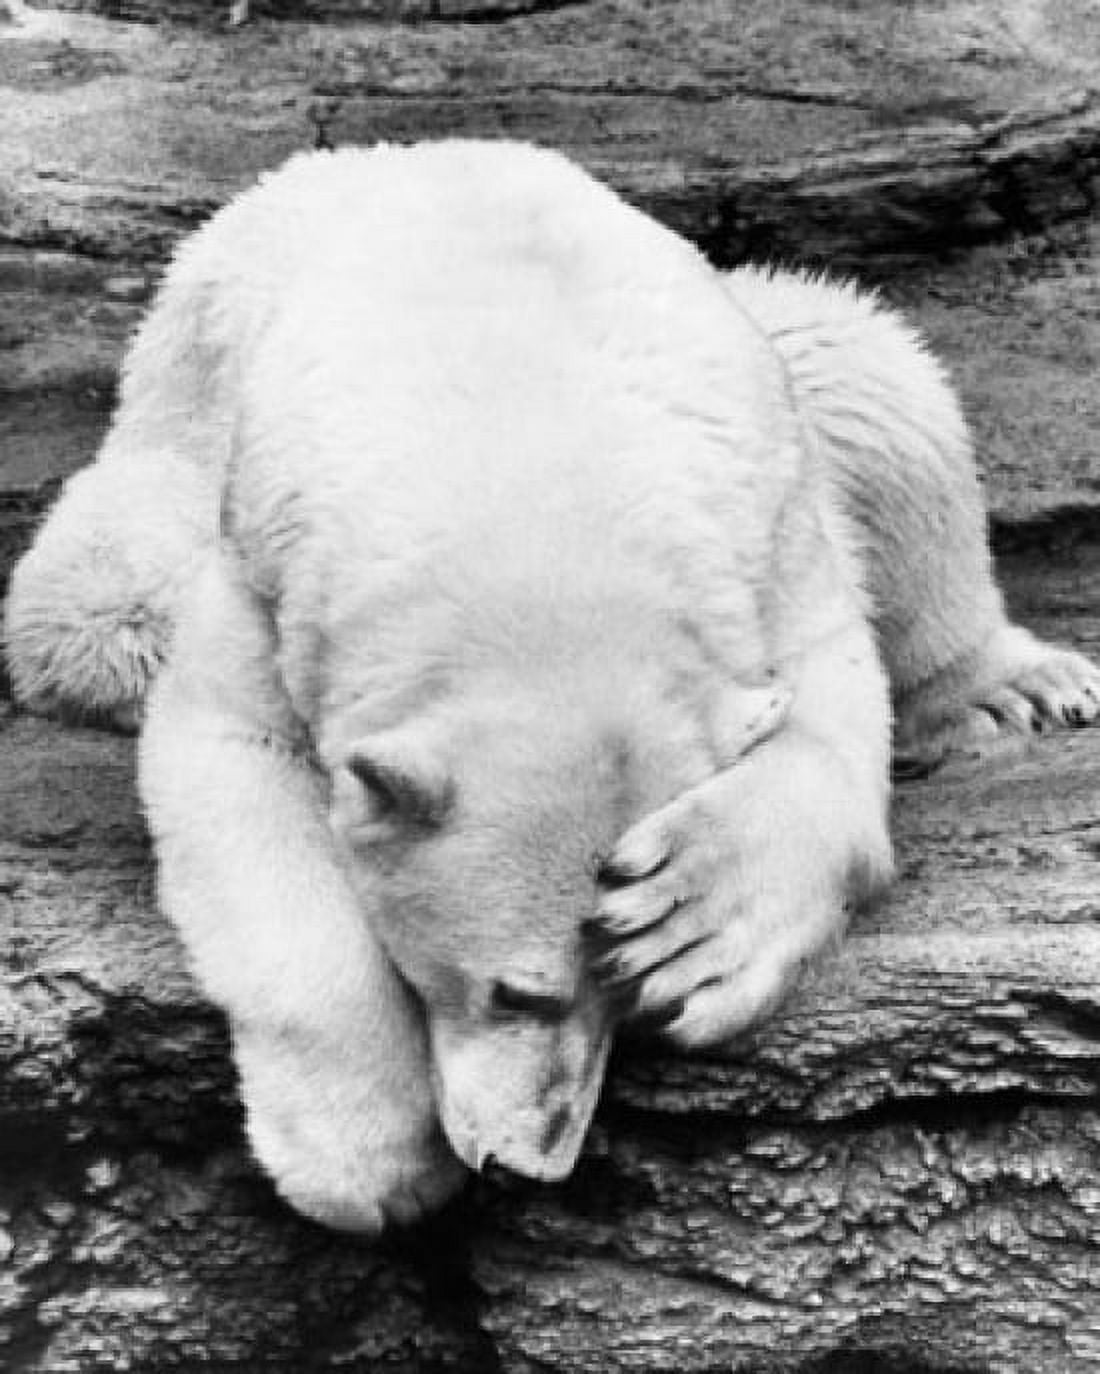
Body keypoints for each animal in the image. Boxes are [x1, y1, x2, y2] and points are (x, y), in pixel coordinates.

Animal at [4, 140, 1098, 1232]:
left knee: (868, 368)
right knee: (96, 601)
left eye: (624, 994)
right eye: (514, 992)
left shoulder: (769, 525)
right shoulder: (272, 567)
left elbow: (829, 699)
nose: (524, 1168)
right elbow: (231, 749)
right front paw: (372, 1167)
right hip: (169, 442)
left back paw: (1015, 688)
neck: (534, 435)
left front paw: (693, 921)